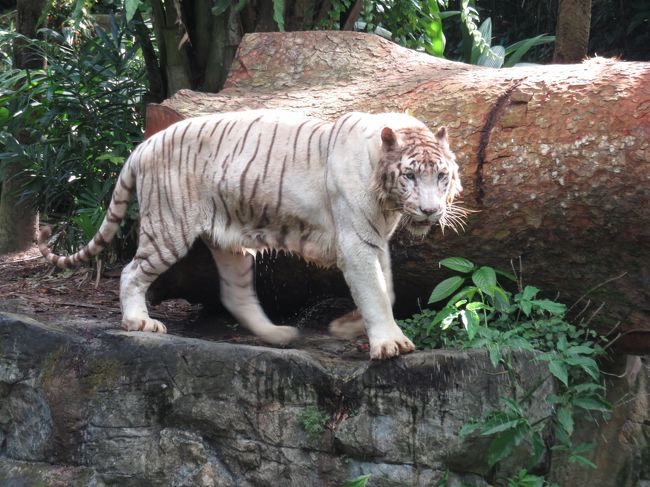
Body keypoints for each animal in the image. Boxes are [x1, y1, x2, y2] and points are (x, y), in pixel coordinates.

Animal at [39, 112, 460, 360]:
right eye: (410, 175)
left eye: (441, 176)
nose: (430, 211)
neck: (387, 199)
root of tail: (145, 144)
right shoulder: (356, 241)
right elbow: (375, 291)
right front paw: (391, 344)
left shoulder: (374, 239)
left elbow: (387, 289)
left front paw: (348, 326)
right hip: (168, 229)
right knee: (131, 272)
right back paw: (139, 323)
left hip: (231, 243)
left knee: (234, 295)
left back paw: (278, 334)